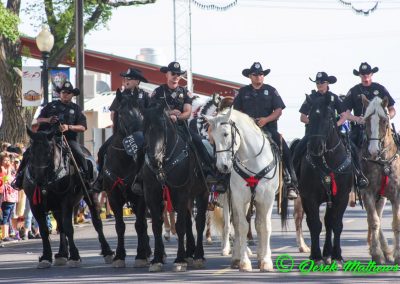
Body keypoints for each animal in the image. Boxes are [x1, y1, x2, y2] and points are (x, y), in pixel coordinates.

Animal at [23, 129, 112, 268]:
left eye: (49, 152)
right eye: (31, 152)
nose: (39, 181)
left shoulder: (66, 202)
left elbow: (68, 227)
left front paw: (75, 256)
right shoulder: (35, 205)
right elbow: (44, 230)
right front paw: (46, 257)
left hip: (91, 196)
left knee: (97, 222)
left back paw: (107, 251)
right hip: (56, 208)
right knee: (60, 227)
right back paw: (62, 254)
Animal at [101, 91, 152, 268]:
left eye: (142, 113)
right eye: (122, 113)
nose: (140, 139)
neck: (123, 160)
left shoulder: (140, 198)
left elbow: (139, 225)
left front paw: (141, 255)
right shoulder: (113, 197)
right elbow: (120, 226)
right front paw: (119, 256)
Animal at [142, 103, 208, 272]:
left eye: (162, 128)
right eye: (144, 128)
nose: (154, 159)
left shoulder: (181, 194)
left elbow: (179, 226)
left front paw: (179, 260)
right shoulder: (152, 195)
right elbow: (157, 226)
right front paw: (157, 260)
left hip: (202, 193)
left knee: (199, 222)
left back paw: (198, 256)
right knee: (189, 222)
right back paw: (189, 253)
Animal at [206, 107, 278, 272]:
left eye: (225, 134)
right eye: (212, 137)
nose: (222, 167)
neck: (253, 161)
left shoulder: (267, 198)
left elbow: (265, 226)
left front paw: (266, 261)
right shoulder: (238, 198)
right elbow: (242, 227)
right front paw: (244, 262)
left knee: (258, 224)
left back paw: (261, 255)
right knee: (237, 224)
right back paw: (237, 257)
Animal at [292, 95, 352, 264]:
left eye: (329, 116)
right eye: (311, 116)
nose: (315, 147)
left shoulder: (342, 197)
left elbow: (336, 224)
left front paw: (337, 255)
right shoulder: (308, 197)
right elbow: (315, 225)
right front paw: (316, 256)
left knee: (329, 222)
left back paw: (328, 253)